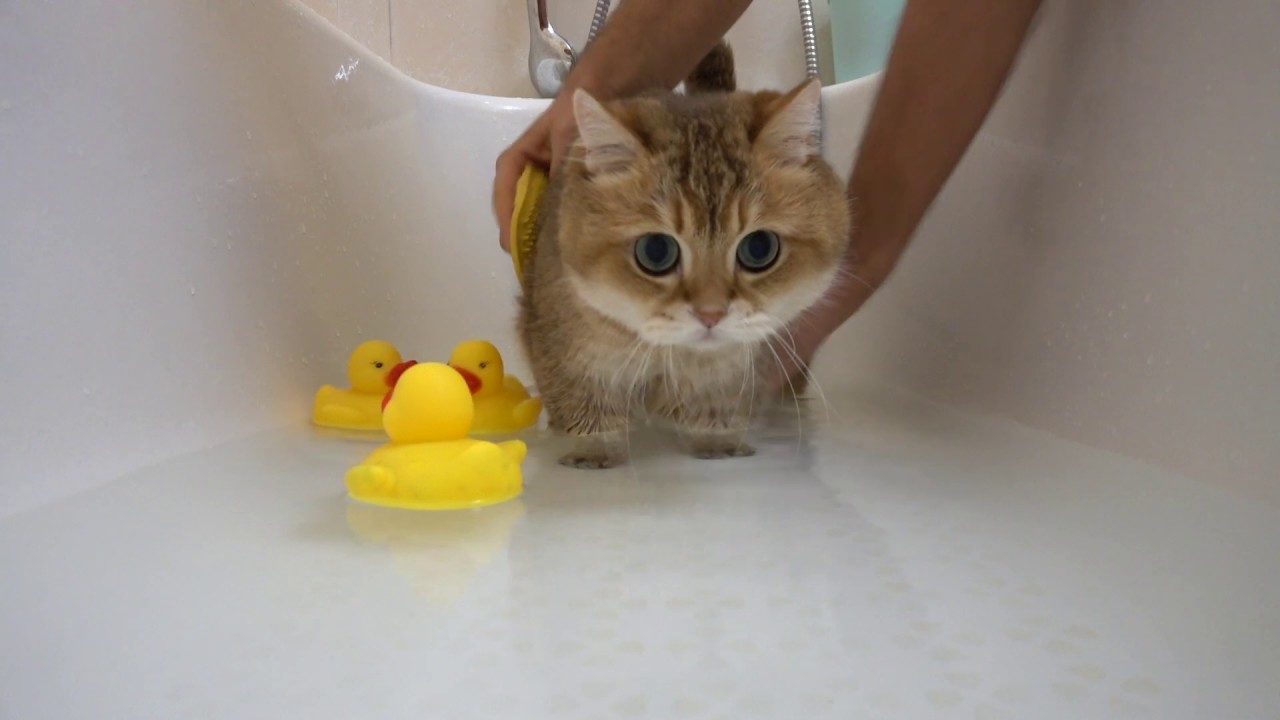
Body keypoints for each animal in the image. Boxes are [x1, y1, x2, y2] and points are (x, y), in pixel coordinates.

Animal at [514, 41, 855, 468]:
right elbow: (588, 414)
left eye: (759, 248)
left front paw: (717, 444)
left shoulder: (737, 367)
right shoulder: (567, 355)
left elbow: (716, 412)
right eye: (655, 252)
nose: (710, 314)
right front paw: (595, 452)